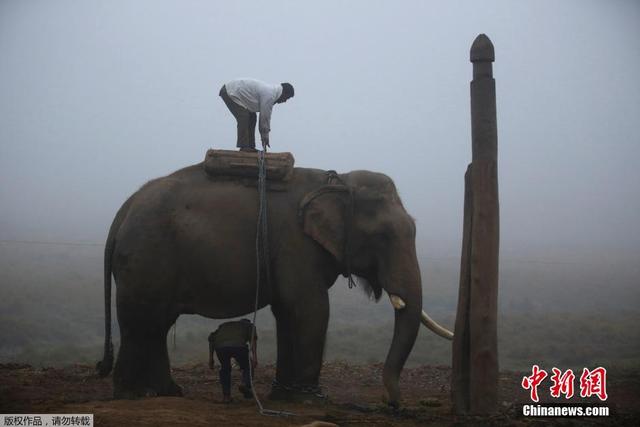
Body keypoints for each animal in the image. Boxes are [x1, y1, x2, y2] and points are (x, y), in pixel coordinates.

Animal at [97, 158, 452, 408]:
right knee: (142, 322)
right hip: (146, 257)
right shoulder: (295, 244)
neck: (337, 181)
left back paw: (167, 393)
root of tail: (123, 210)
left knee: (155, 324)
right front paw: (310, 400)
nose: (390, 403)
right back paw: (134, 395)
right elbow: (311, 309)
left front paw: (284, 396)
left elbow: (288, 312)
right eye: (383, 236)